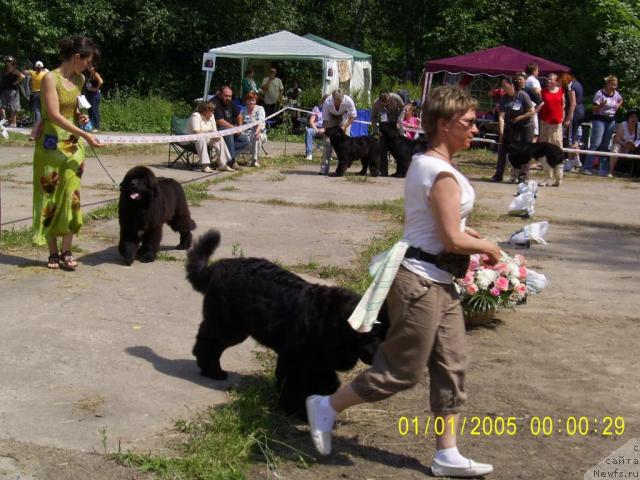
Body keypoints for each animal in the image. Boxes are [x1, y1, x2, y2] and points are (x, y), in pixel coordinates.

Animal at [185, 230, 390, 420]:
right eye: (371, 336)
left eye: (385, 335)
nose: (382, 359)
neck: (328, 321)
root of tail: (214, 268)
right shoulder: (294, 358)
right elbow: (294, 386)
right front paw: (296, 411)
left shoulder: (318, 361)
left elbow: (322, 383)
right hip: (229, 325)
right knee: (208, 342)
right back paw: (213, 371)